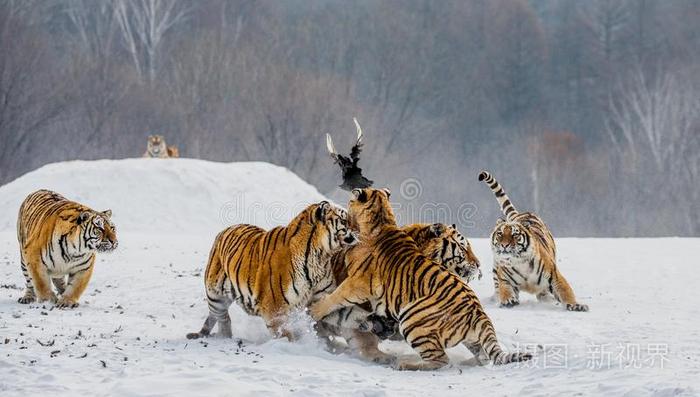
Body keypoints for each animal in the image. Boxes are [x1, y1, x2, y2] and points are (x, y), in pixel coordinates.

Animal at [186, 201, 358, 340]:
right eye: (345, 220)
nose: (359, 230)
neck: (321, 257)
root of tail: (225, 230)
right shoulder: (275, 310)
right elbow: (285, 335)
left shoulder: (323, 297)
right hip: (215, 295)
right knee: (222, 318)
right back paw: (225, 338)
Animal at [308, 187, 532, 370]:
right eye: (463, 247)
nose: (477, 264)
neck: (383, 222)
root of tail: (479, 313)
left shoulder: (359, 283)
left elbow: (335, 298)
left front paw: (313, 310)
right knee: (482, 355)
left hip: (412, 319)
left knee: (442, 360)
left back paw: (403, 364)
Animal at [478, 170, 588, 312]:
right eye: (500, 234)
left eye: (514, 235)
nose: (504, 245)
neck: (519, 262)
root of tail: (520, 214)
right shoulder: (504, 278)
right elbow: (505, 290)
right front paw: (508, 301)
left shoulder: (554, 276)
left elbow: (566, 291)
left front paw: (576, 305)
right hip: (496, 268)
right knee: (497, 288)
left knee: (543, 294)